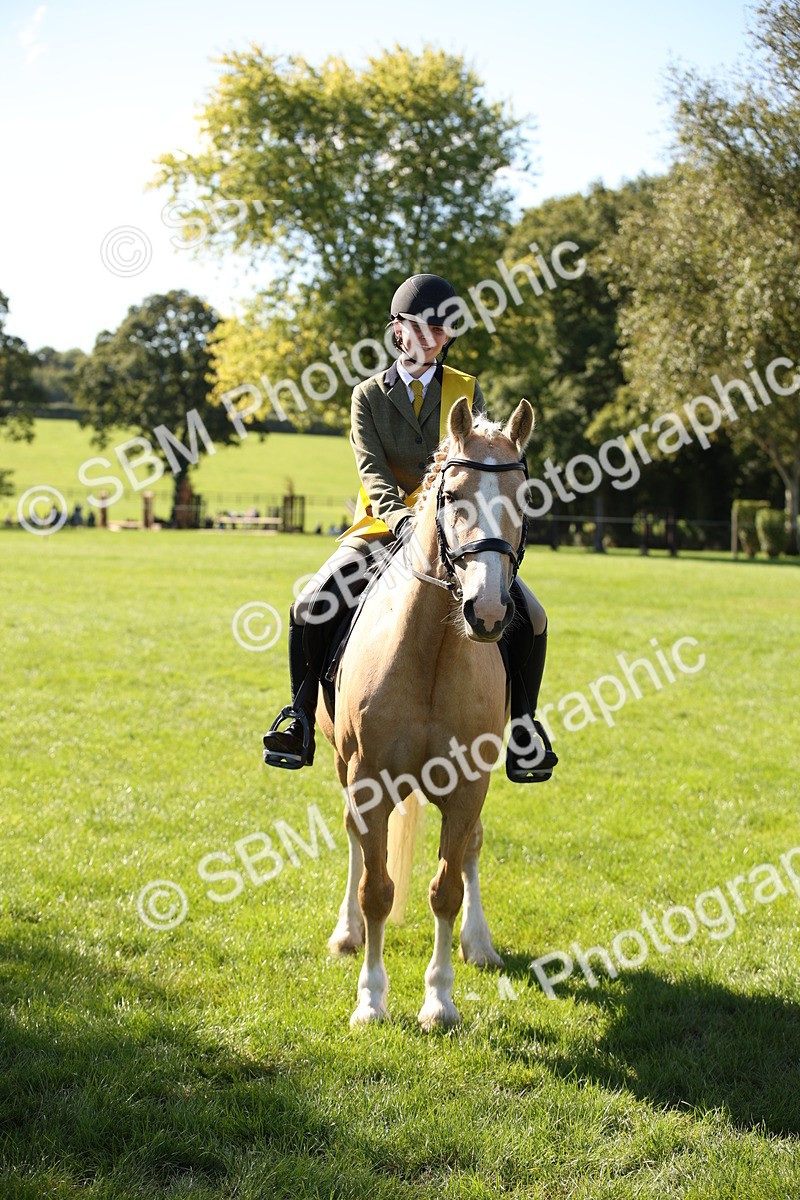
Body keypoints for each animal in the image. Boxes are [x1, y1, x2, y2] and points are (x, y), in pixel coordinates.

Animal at [317, 396, 534, 1030]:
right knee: (355, 846)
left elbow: (446, 887)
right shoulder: (367, 783)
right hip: (343, 768)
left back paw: (480, 945)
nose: (489, 611)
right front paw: (371, 1000)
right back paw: (347, 934)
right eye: (452, 495)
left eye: (524, 497)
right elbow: (377, 889)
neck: (432, 652)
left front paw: (439, 1001)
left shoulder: (467, 788)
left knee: (472, 850)